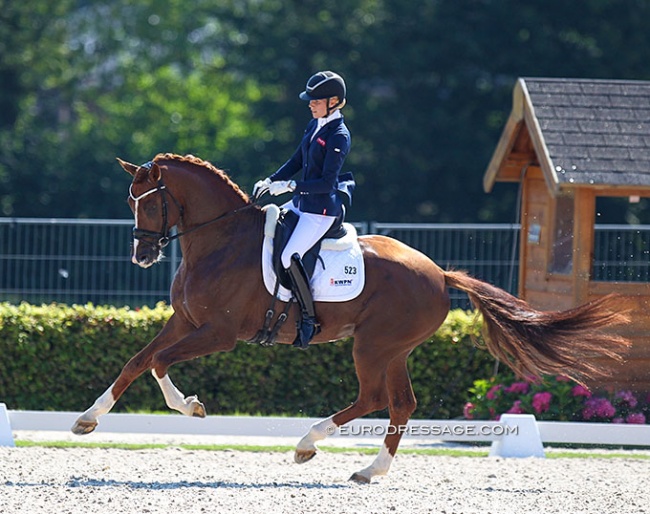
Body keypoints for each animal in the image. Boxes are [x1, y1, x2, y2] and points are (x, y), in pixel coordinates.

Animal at [72, 154, 628, 482]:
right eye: (130, 202)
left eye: (151, 204)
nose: (142, 256)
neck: (219, 241)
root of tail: (438, 272)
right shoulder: (185, 323)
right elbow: (136, 361)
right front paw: (88, 419)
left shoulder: (219, 334)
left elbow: (159, 364)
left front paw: (191, 407)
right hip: (393, 349)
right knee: (401, 403)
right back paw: (371, 470)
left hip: (374, 345)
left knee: (375, 397)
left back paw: (307, 444)